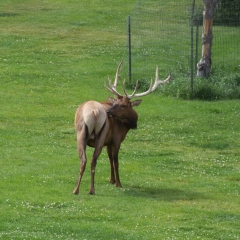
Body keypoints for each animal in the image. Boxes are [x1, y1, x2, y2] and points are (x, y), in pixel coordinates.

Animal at [73, 61, 171, 194]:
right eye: (115, 103)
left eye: (123, 105)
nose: (108, 111)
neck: (126, 126)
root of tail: (94, 112)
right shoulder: (117, 139)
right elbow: (116, 161)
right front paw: (118, 183)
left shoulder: (108, 141)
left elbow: (109, 159)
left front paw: (111, 180)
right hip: (99, 135)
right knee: (93, 160)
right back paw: (92, 190)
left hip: (82, 134)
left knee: (84, 159)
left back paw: (76, 190)